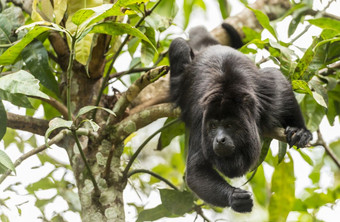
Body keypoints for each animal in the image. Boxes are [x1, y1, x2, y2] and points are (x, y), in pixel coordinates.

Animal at [169, 23, 312, 212]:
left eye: (229, 125)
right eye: (213, 126)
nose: (220, 139)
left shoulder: (268, 95)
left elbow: (277, 79)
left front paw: (300, 130)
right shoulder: (200, 117)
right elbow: (195, 170)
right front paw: (233, 197)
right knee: (179, 45)